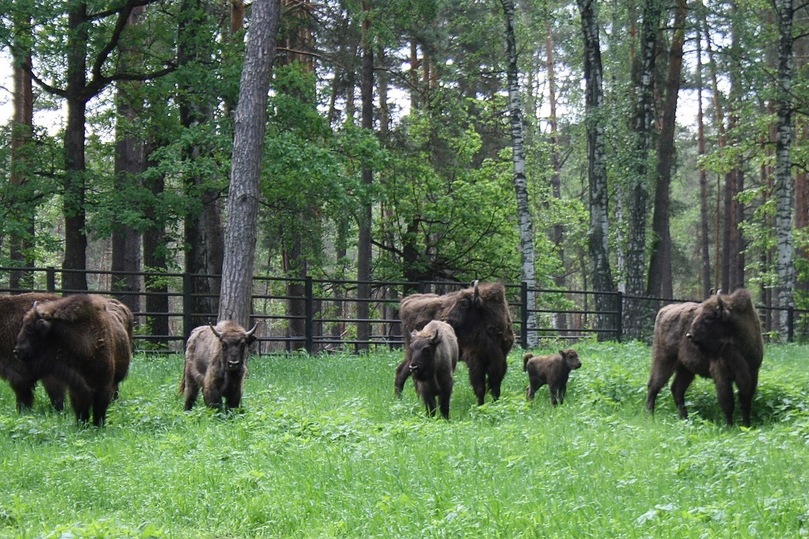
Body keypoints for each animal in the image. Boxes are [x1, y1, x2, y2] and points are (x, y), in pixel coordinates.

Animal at [13, 294, 131, 428]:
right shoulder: (77, 386)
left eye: (31, 329)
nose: (17, 351)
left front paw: (98, 426)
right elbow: (81, 408)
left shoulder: (103, 385)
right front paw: (82, 425)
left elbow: (99, 409)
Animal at [644, 288, 764, 428]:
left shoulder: (752, 374)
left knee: (676, 389)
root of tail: (664, 311)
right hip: (664, 360)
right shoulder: (721, 376)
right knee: (654, 386)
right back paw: (650, 417)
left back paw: (685, 419)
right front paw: (729, 426)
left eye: (709, 317)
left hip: (685, 369)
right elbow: (728, 402)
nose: (690, 335)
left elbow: (745, 401)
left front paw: (746, 425)